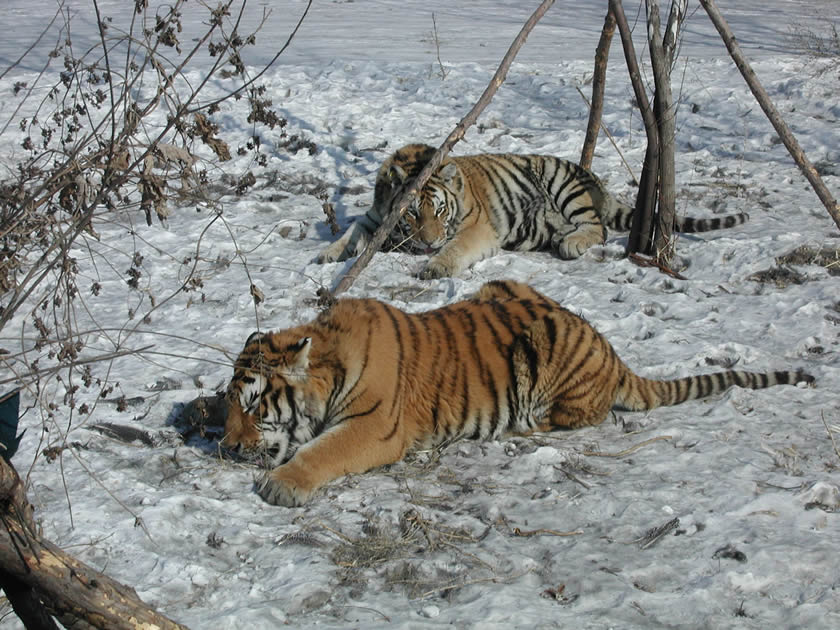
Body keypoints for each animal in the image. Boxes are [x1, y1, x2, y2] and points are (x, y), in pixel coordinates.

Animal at [220, 282, 812, 508]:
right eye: (230, 405)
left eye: (253, 407)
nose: (225, 446)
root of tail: (612, 351)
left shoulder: (376, 426)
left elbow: (324, 449)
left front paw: (281, 485)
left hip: (548, 341)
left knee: (585, 415)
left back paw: (530, 425)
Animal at [316, 147, 748, 280]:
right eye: (412, 216)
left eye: (439, 211)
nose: (428, 242)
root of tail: (596, 181)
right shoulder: (377, 217)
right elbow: (353, 230)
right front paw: (328, 254)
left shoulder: (476, 228)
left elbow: (456, 249)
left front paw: (437, 266)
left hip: (561, 182)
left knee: (597, 228)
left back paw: (571, 242)